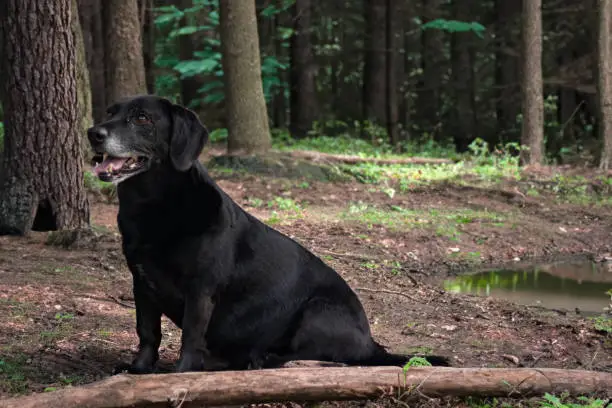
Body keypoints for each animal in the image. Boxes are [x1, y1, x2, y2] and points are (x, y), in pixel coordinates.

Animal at [86, 95, 450, 372]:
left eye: (142, 118)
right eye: (110, 112)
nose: (92, 132)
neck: (153, 207)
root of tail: (371, 343)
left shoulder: (201, 289)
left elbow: (191, 335)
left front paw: (182, 372)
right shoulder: (142, 283)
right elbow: (147, 331)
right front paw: (138, 369)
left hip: (317, 310)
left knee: (321, 355)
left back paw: (265, 358)